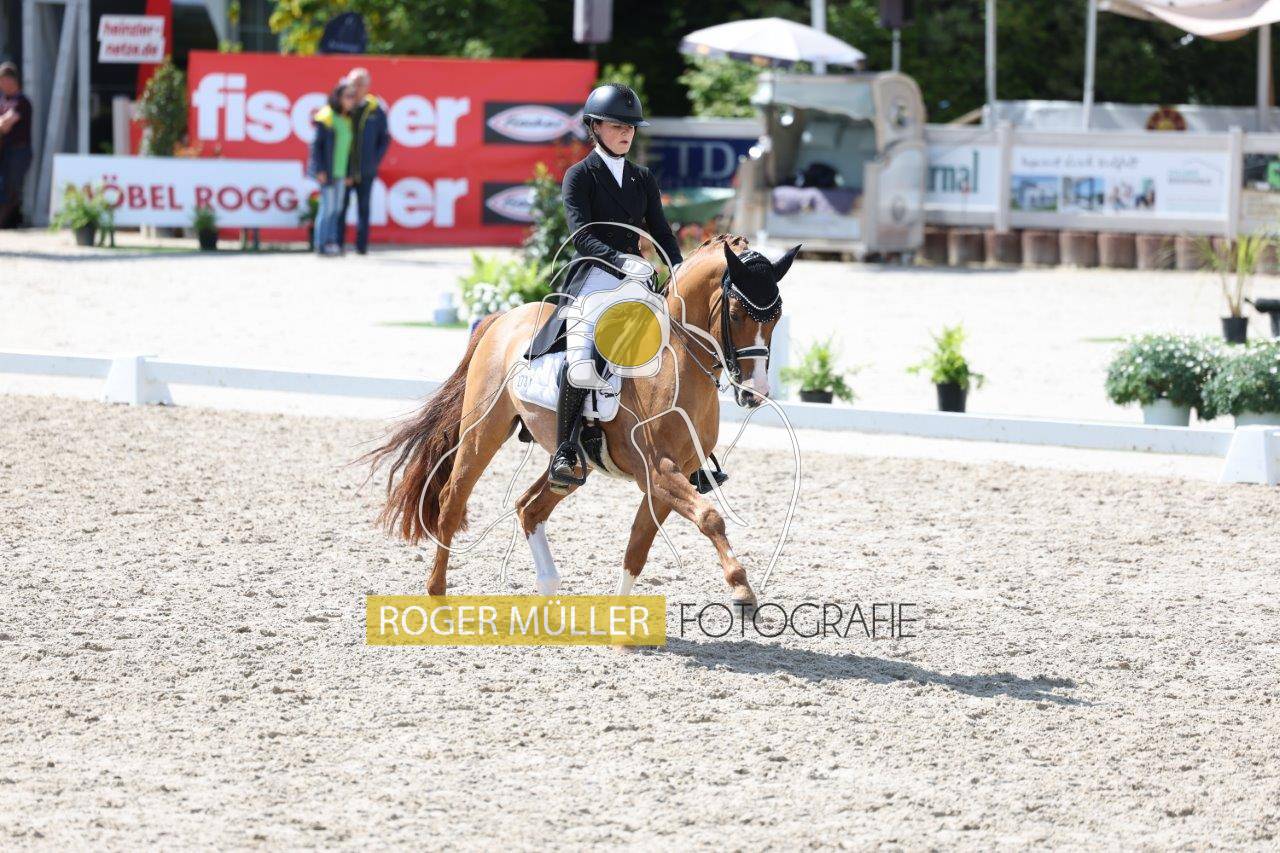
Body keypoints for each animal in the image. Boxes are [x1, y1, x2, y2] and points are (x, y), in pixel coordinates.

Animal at [362, 234, 800, 605]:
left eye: (777, 318)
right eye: (736, 313)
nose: (756, 392)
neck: (673, 363)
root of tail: (503, 318)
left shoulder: (666, 480)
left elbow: (638, 547)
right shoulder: (659, 471)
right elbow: (710, 518)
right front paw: (742, 589)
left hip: (572, 460)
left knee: (529, 507)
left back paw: (548, 591)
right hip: (482, 432)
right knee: (452, 502)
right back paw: (437, 594)